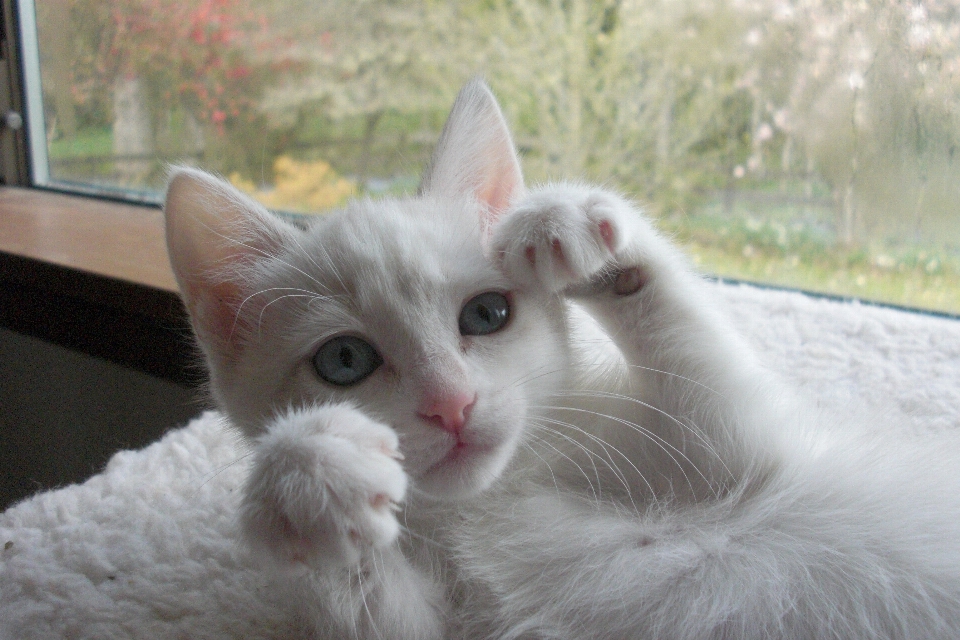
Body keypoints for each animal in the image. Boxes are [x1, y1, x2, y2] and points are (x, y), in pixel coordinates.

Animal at [161, 77, 960, 636]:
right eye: (345, 361)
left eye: (487, 313)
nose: (451, 404)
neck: (491, 498)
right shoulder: (439, 626)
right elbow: (381, 612)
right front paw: (309, 480)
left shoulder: (751, 459)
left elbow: (724, 403)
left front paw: (569, 220)